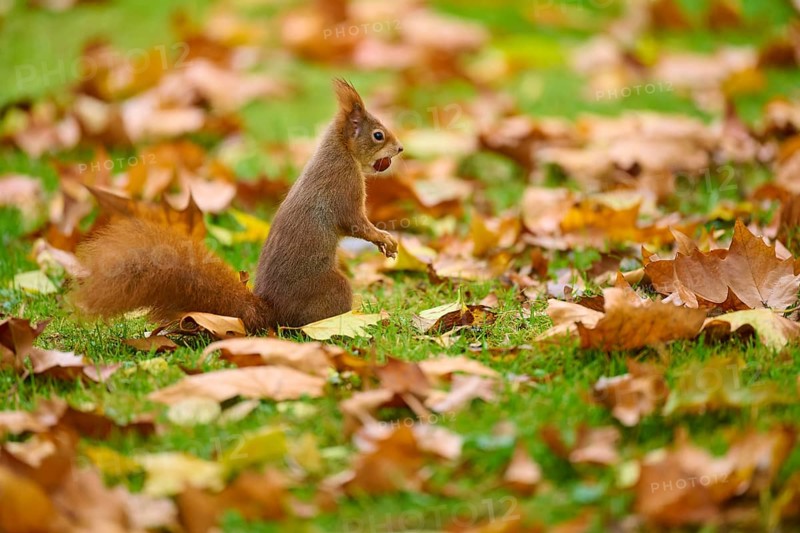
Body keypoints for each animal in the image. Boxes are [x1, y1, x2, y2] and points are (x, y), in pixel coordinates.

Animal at [69, 79, 403, 332]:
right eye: (378, 135)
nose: (400, 148)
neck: (341, 152)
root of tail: (271, 313)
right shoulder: (344, 187)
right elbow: (355, 223)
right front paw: (384, 239)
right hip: (333, 288)